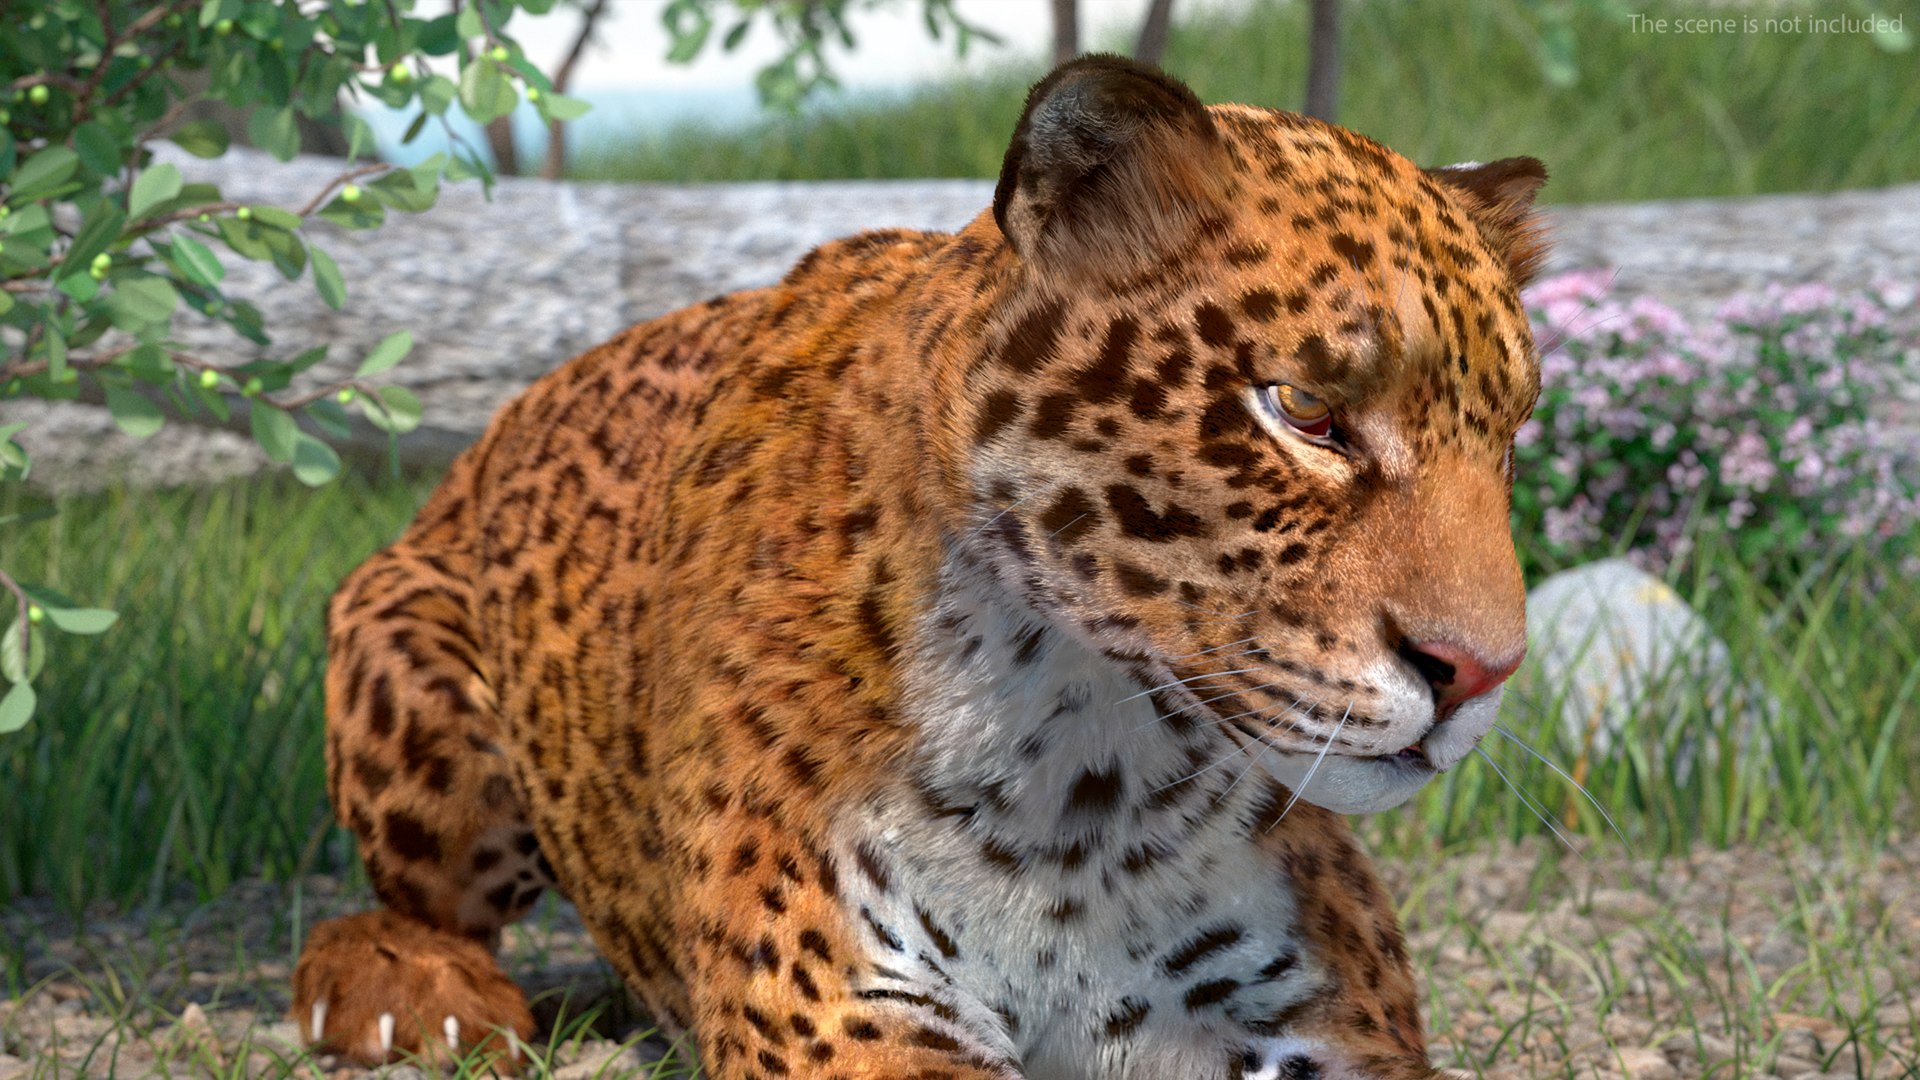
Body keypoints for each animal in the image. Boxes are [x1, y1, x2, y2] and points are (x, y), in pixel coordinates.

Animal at [291, 55, 1549, 1080]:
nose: (1480, 674)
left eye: (1508, 438)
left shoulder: (1313, 1006)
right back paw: (411, 998)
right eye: (1304, 411)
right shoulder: (848, 1009)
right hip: (416, 672)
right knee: (399, 908)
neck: (1086, 784)